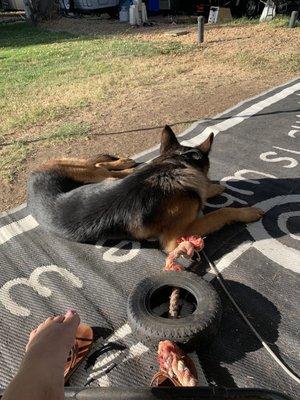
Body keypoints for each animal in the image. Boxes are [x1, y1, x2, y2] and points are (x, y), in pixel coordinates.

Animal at [27, 126, 262, 250]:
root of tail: (31, 178)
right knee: (101, 168)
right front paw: (246, 212)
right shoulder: (175, 238)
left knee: (104, 166)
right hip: (91, 174)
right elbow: (221, 212)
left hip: (99, 177)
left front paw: (211, 189)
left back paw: (127, 163)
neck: (173, 167)